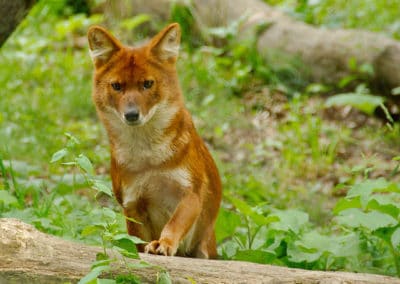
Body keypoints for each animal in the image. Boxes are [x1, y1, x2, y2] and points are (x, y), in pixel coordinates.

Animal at [86, 23, 222, 258]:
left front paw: (164, 243)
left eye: (148, 84)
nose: (132, 114)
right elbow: (137, 243)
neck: (149, 157)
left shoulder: (191, 192)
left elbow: (174, 223)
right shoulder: (132, 203)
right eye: (117, 86)